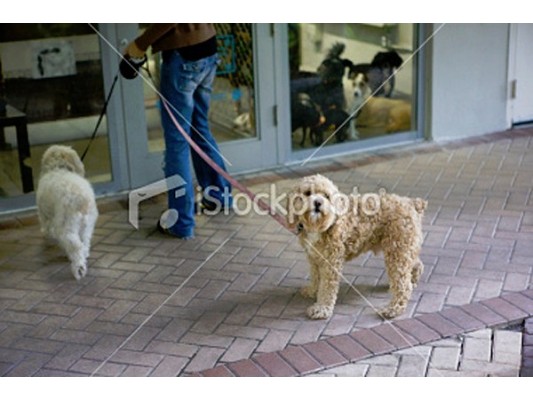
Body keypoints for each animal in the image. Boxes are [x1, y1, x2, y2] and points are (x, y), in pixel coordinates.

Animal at [36, 145, 97, 280]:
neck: (59, 168)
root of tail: (81, 199)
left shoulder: (45, 215)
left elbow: (46, 226)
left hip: (66, 228)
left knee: (76, 246)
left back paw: (78, 268)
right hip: (86, 226)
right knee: (84, 243)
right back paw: (83, 256)